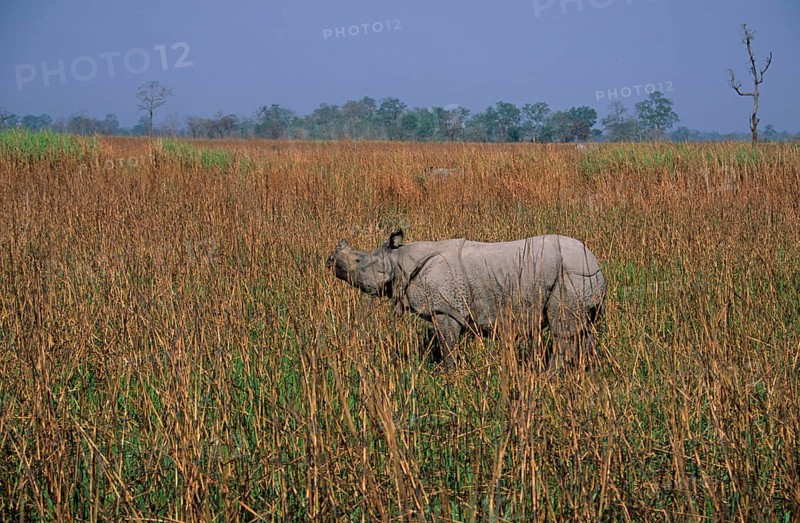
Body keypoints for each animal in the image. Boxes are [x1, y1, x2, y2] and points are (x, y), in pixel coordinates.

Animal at [326, 230, 606, 369]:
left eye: (358, 260)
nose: (329, 260)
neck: (398, 261)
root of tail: (595, 261)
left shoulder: (445, 310)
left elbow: (447, 345)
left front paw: (447, 374)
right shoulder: (451, 309)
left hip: (570, 273)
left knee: (563, 331)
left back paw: (548, 375)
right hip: (580, 276)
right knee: (584, 330)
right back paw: (584, 373)